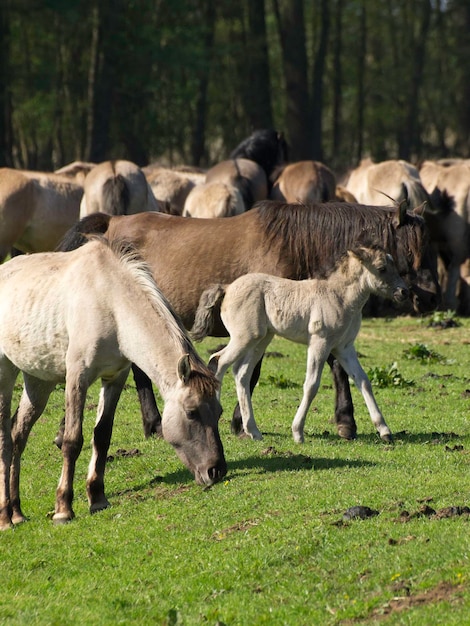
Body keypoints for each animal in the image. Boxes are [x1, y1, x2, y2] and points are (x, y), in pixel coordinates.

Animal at [0, 238, 226, 528]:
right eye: (191, 412)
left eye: (218, 412)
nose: (217, 470)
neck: (110, 302)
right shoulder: (77, 376)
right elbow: (72, 441)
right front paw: (63, 508)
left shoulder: (115, 377)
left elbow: (102, 436)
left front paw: (97, 498)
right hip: (6, 374)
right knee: (5, 440)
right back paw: (5, 517)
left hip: (38, 381)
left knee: (18, 434)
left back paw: (17, 512)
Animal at [191, 244, 408, 444]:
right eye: (381, 268)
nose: (403, 292)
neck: (340, 297)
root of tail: (227, 288)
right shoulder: (319, 342)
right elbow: (311, 385)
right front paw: (297, 432)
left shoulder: (345, 347)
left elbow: (363, 381)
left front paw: (385, 431)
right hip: (244, 337)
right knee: (218, 361)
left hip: (261, 339)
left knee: (241, 373)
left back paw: (254, 431)